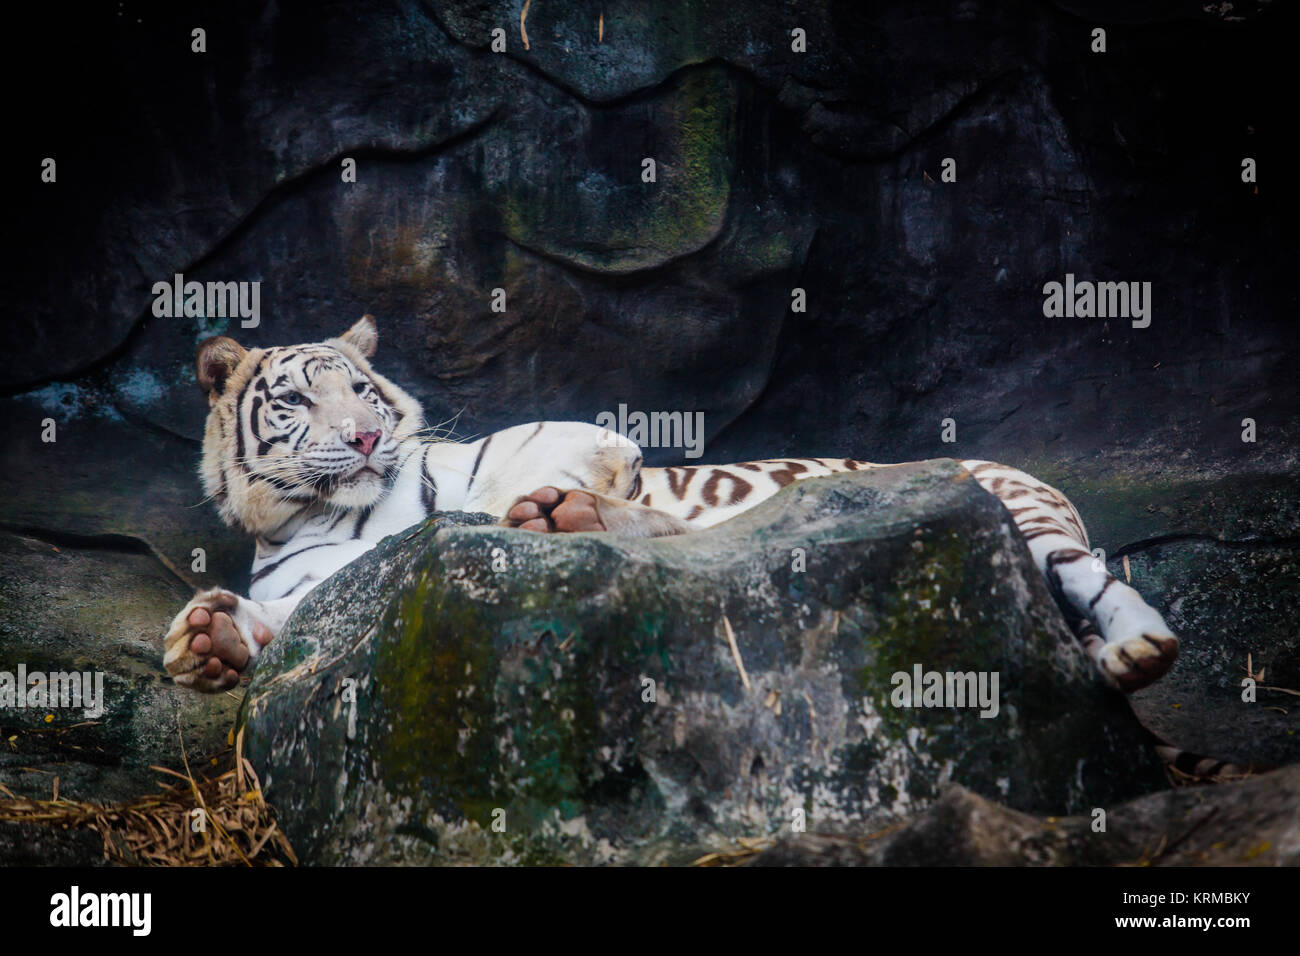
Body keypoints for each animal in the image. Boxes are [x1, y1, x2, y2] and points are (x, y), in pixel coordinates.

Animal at [162, 314, 1180, 697]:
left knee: (1102, 589)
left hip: (1031, 523)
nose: (370, 439)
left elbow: (490, 494)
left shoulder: (569, 440)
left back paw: (1136, 651)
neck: (329, 513)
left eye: (364, 392)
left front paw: (531, 511)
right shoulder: (310, 580)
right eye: (298, 400)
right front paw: (209, 638)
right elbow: (301, 612)